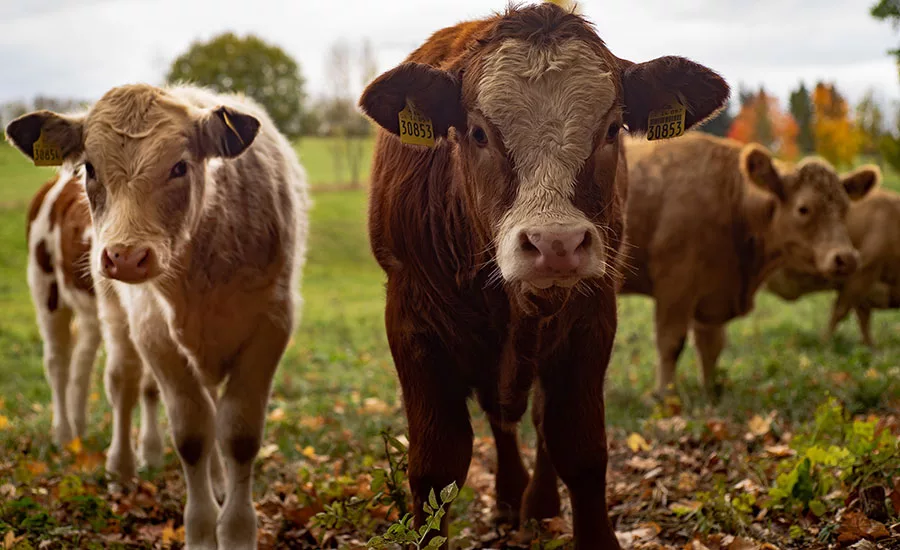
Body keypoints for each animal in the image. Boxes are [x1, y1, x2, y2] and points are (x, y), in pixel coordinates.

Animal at [6, 84, 309, 550]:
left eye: (180, 166)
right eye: (90, 168)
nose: (125, 257)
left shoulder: (271, 325)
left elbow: (237, 434)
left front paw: (236, 528)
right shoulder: (154, 332)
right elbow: (191, 433)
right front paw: (201, 531)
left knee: (92, 367)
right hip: (55, 294)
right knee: (91, 372)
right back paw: (89, 448)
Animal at [358, 4, 729, 547]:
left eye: (612, 129)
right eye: (478, 133)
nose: (556, 244)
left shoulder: (591, 321)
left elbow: (579, 447)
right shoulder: (412, 326)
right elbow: (436, 465)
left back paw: (536, 503)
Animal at [620, 132, 878, 398]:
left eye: (845, 209)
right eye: (803, 208)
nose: (846, 257)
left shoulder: (712, 295)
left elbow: (711, 347)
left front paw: (711, 393)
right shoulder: (675, 286)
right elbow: (671, 343)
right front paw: (665, 397)